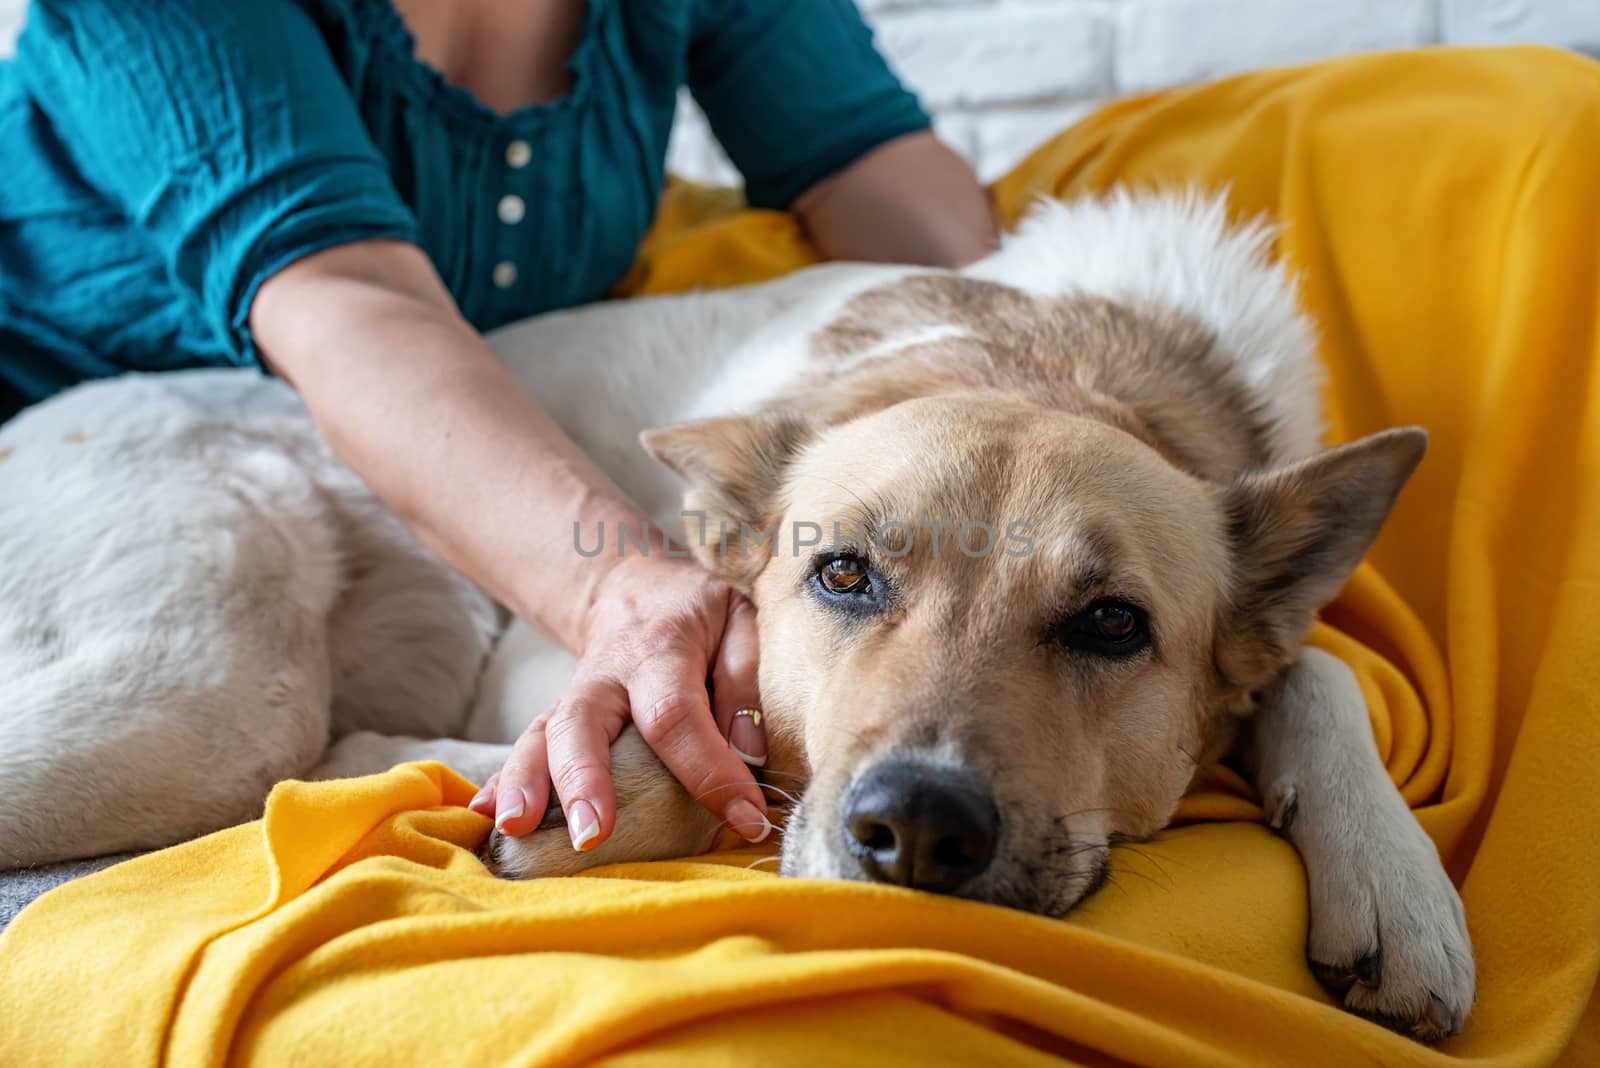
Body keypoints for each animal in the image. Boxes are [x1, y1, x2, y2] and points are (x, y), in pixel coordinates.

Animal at [0, 189, 1472, 1036]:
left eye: (1111, 626)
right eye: (843, 575)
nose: (918, 828)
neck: (1050, 363)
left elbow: (1317, 669)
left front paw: (1393, 877)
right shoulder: (557, 649)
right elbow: (708, 738)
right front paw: (604, 791)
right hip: (198, 687)